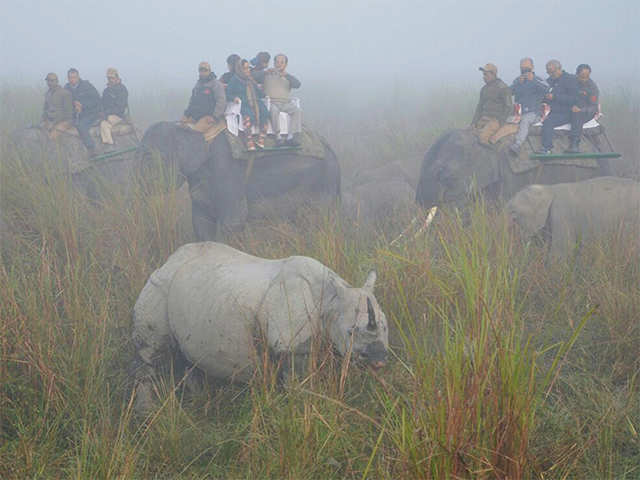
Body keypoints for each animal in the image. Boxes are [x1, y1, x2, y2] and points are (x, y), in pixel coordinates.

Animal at [132, 242, 388, 410]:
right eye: (351, 332)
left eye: (386, 329)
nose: (379, 359)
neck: (331, 302)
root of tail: (166, 262)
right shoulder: (290, 344)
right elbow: (299, 382)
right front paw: (303, 406)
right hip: (158, 288)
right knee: (150, 353)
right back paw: (146, 415)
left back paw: (198, 400)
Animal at [139, 120, 340, 240]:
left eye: (148, 156)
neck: (193, 128)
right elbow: (200, 222)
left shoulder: (227, 169)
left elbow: (233, 222)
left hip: (323, 183)